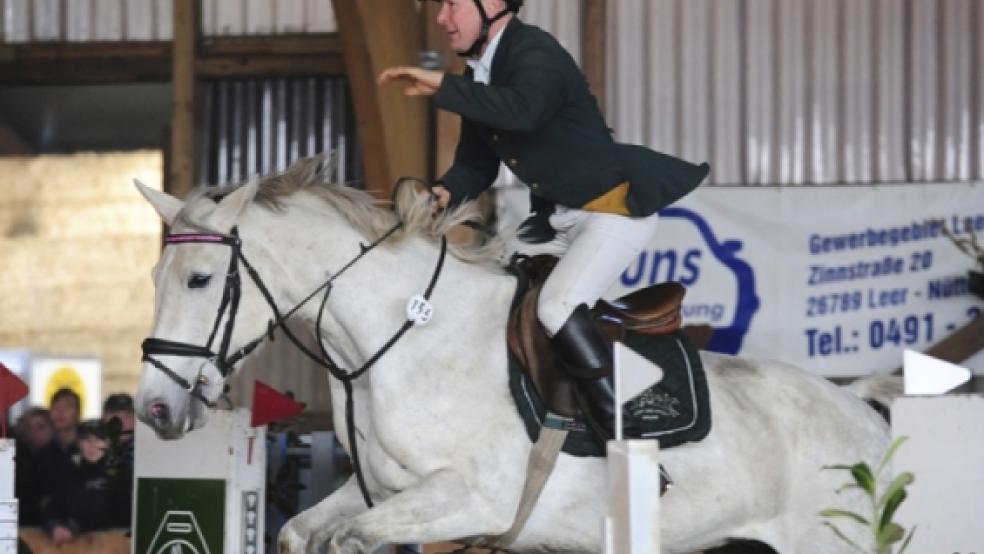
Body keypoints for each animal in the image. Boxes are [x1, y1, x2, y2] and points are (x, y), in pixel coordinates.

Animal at [135, 157, 896, 548]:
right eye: (152, 278)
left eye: (200, 280)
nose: (154, 409)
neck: (405, 345)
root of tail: (861, 412)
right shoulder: (375, 489)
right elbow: (300, 533)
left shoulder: (472, 499)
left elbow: (354, 537)